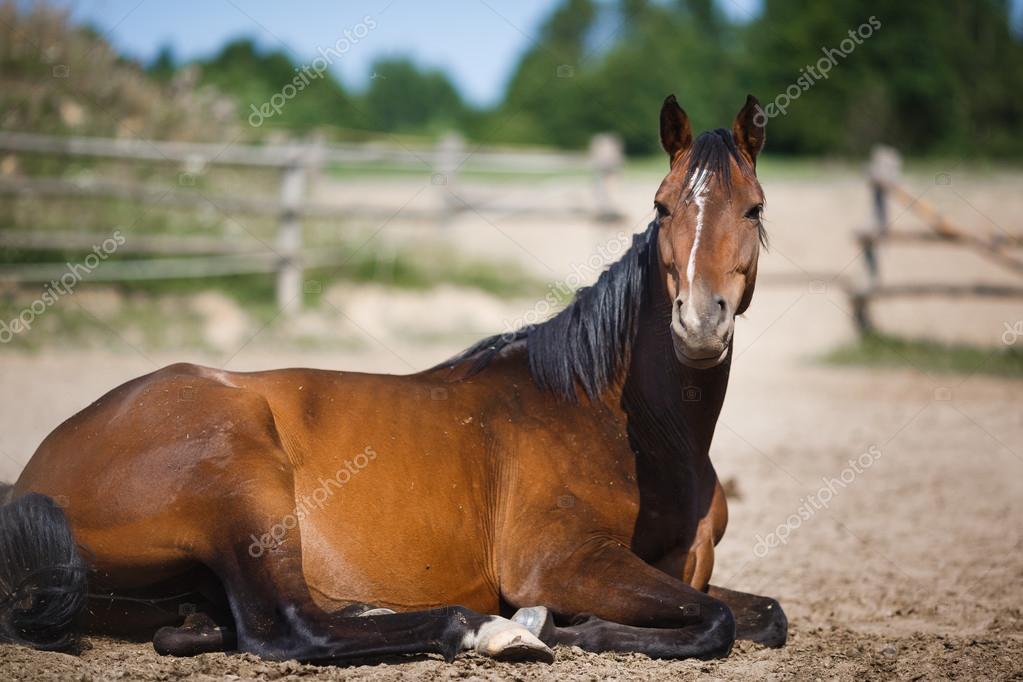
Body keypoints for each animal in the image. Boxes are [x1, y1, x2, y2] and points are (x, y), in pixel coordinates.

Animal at [0, 94, 786, 664]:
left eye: (754, 208)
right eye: (661, 206)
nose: (698, 324)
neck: (622, 425)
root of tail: (39, 471)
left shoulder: (686, 569)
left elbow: (766, 613)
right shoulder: (564, 562)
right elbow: (715, 621)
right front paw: (567, 627)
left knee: (211, 625)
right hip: (241, 487)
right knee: (287, 629)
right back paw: (487, 630)